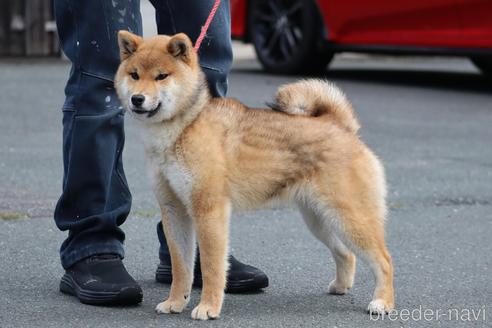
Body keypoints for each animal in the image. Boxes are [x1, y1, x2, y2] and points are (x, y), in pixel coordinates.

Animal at [113, 31, 394, 320]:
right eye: (134, 75)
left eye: (161, 76)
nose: (137, 99)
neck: (183, 126)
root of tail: (339, 125)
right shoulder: (175, 209)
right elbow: (181, 267)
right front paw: (175, 302)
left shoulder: (209, 210)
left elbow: (212, 267)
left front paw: (208, 306)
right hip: (319, 219)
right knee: (347, 254)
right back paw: (340, 286)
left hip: (350, 218)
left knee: (384, 260)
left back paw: (382, 302)